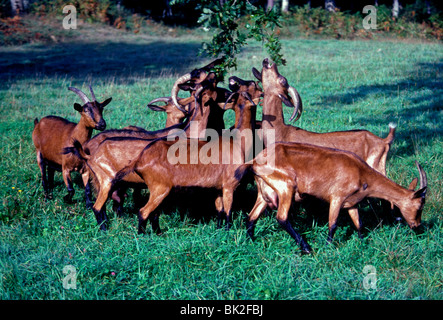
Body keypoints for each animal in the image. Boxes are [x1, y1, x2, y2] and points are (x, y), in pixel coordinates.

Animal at [246, 141, 426, 254]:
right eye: (419, 207)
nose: (417, 226)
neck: (361, 173)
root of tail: (256, 160)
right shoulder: (336, 198)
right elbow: (333, 224)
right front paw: (328, 246)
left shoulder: (351, 203)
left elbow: (358, 223)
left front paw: (362, 242)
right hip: (286, 187)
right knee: (282, 218)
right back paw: (306, 248)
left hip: (265, 193)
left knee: (252, 216)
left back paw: (251, 241)